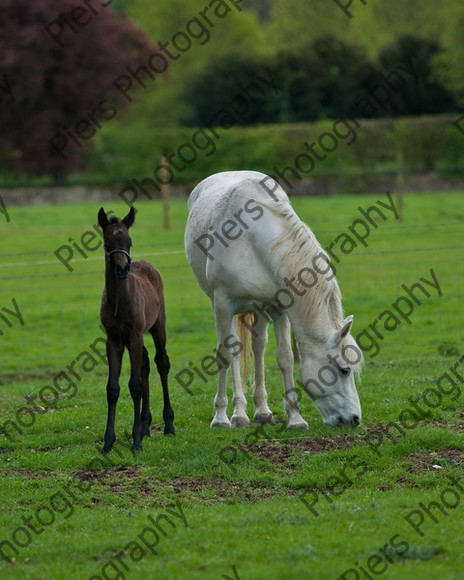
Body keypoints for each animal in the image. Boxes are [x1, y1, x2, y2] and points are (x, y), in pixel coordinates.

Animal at [99, 205, 175, 454]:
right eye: (107, 243)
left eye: (129, 241)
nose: (123, 268)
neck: (119, 301)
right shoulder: (113, 339)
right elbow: (113, 388)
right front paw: (108, 442)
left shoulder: (133, 336)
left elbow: (135, 385)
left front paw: (135, 442)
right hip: (139, 337)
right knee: (146, 364)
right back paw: (145, 426)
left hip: (157, 326)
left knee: (161, 362)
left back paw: (168, 425)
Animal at [185, 170, 362, 428]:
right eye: (344, 370)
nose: (355, 418)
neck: (251, 240)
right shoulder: (223, 304)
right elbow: (224, 356)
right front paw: (220, 417)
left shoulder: (280, 307)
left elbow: (285, 357)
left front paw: (295, 418)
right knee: (234, 350)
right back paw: (239, 414)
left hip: (260, 309)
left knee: (258, 347)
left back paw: (262, 411)